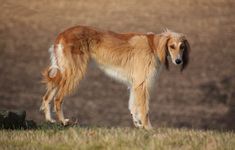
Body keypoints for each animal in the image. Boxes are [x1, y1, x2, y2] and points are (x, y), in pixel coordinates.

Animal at [40, 25, 191, 129]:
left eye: (182, 47)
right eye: (171, 46)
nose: (178, 61)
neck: (153, 46)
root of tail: (62, 34)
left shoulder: (135, 84)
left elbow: (133, 106)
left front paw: (138, 124)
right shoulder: (142, 83)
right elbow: (144, 109)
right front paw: (149, 128)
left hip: (63, 70)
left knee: (47, 96)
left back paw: (49, 119)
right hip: (74, 72)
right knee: (58, 98)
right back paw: (63, 121)